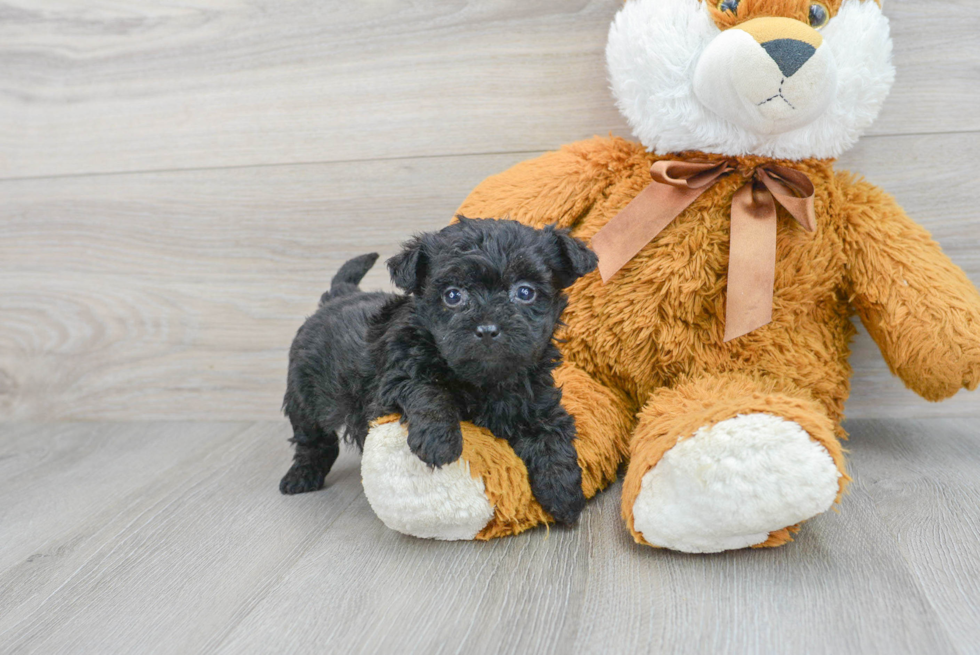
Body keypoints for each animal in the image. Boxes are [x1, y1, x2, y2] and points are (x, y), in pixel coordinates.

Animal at [280, 218, 592, 524]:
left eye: (525, 292)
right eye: (453, 295)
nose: (488, 329)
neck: (485, 381)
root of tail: (340, 295)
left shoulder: (537, 400)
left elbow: (551, 436)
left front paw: (563, 492)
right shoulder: (395, 379)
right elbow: (428, 390)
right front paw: (439, 441)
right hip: (303, 391)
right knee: (314, 440)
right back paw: (301, 477)